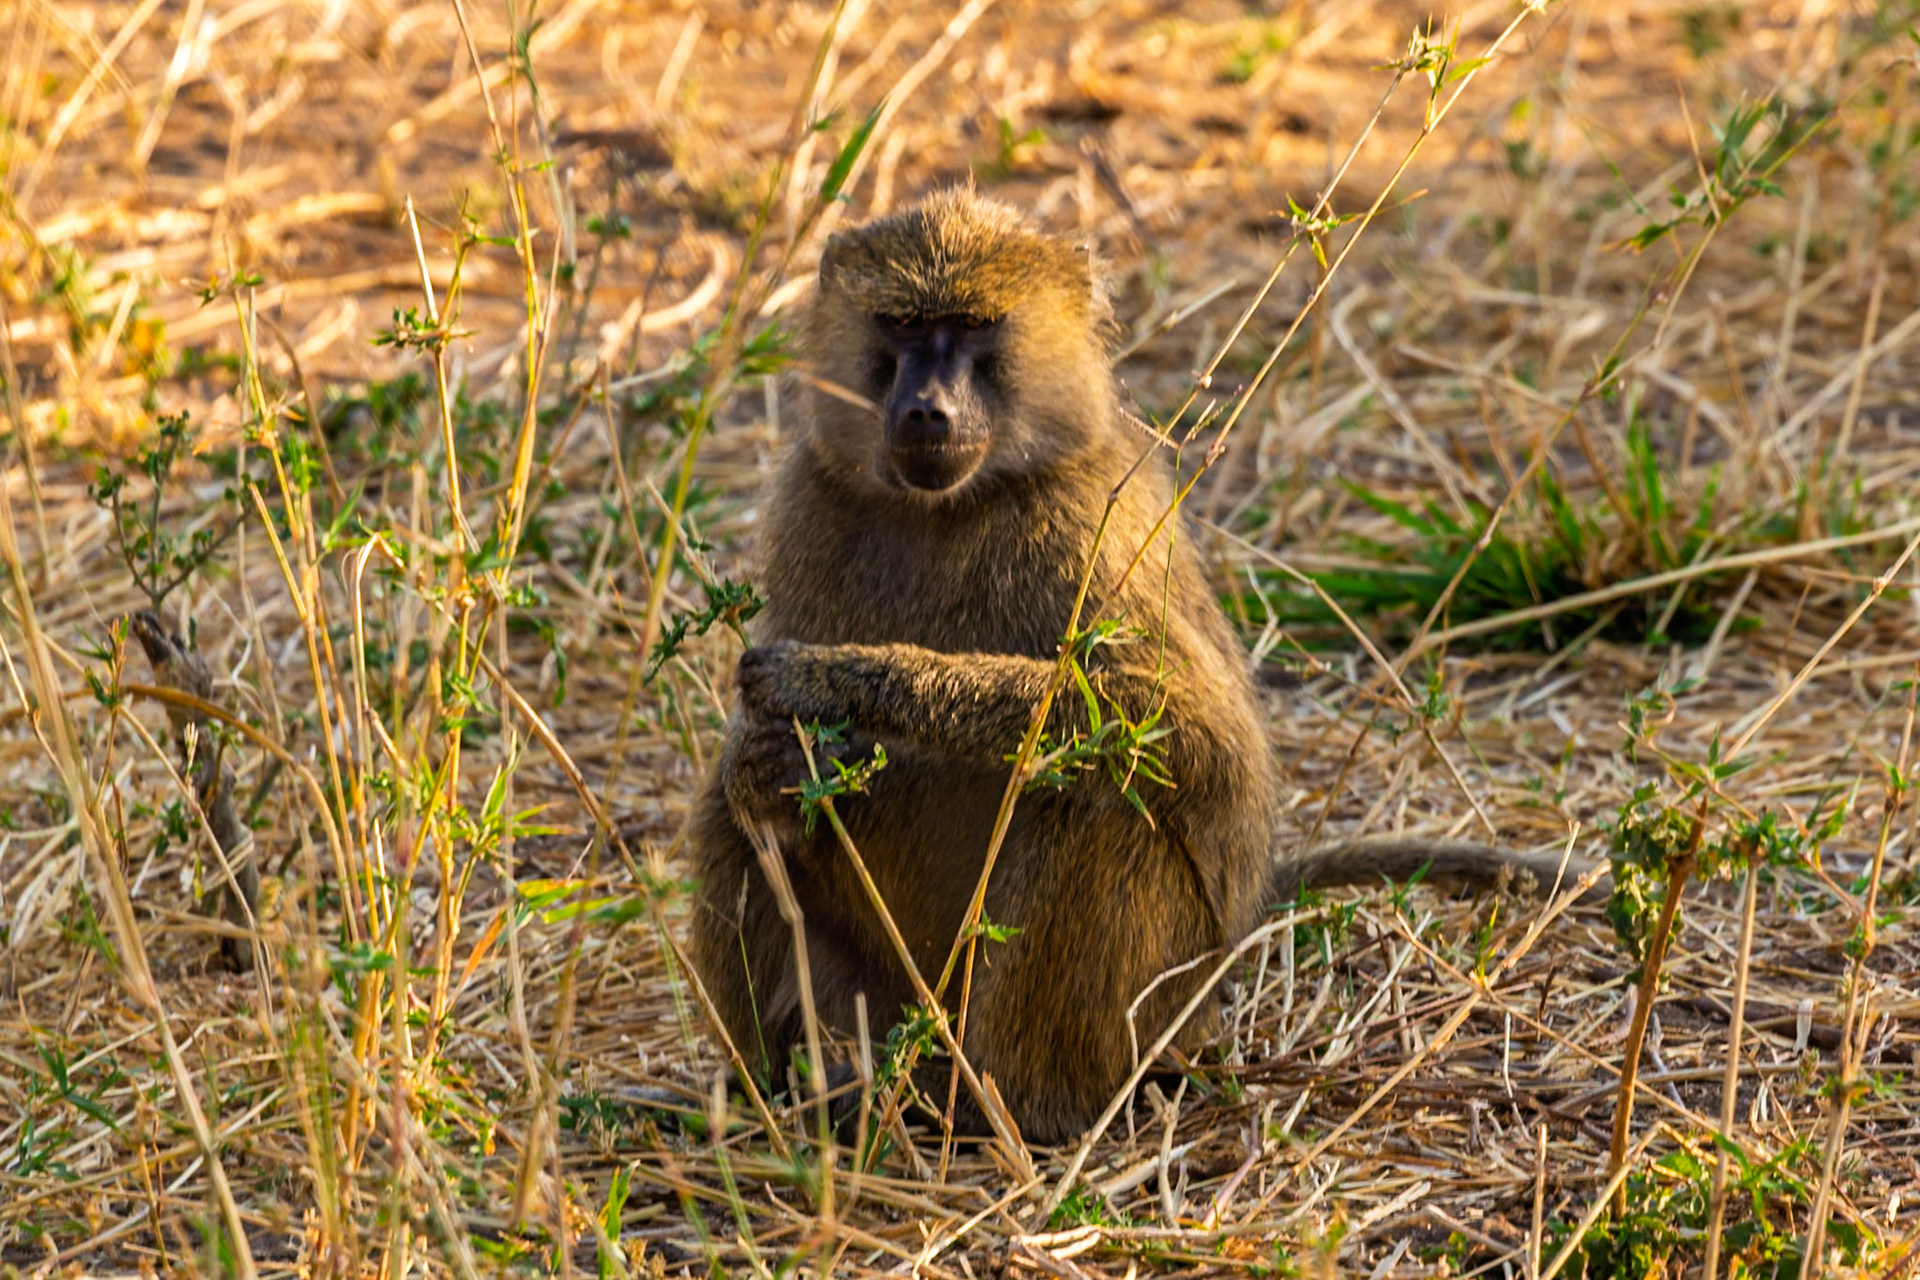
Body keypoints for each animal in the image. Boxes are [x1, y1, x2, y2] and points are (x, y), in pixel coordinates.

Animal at [684, 189, 1592, 1145]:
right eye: (903, 324)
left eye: (973, 327)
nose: (927, 411)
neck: (950, 509)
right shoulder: (811, 502)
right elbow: (752, 772)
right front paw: (779, 761)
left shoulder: (1089, 530)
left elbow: (1193, 735)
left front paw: (843, 684)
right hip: (889, 1003)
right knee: (723, 815)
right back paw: (798, 1095)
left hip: (1160, 1005)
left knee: (1098, 805)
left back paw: (1011, 1107)